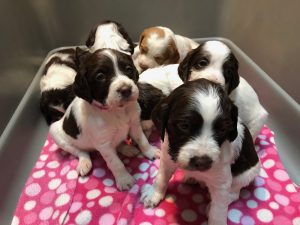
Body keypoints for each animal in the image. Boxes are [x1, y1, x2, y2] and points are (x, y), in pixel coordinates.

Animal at [49, 48, 157, 191]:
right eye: (100, 76)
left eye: (128, 69)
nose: (126, 90)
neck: (115, 110)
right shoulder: (103, 144)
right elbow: (115, 163)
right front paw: (124, 179)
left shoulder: (134, 124)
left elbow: (142, 140)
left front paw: (151, 152)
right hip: (56, 133)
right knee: (80, 151)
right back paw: (84, 163)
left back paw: (127, 149)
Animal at [141, 78, 260, 225]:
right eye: (184, 126)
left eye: (223, 129)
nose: (202, 162)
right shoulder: (167, 157)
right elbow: (161, 177)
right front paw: (154, 194)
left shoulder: (221, 182)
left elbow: (218, 210)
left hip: (246, 174)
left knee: (235, 193)